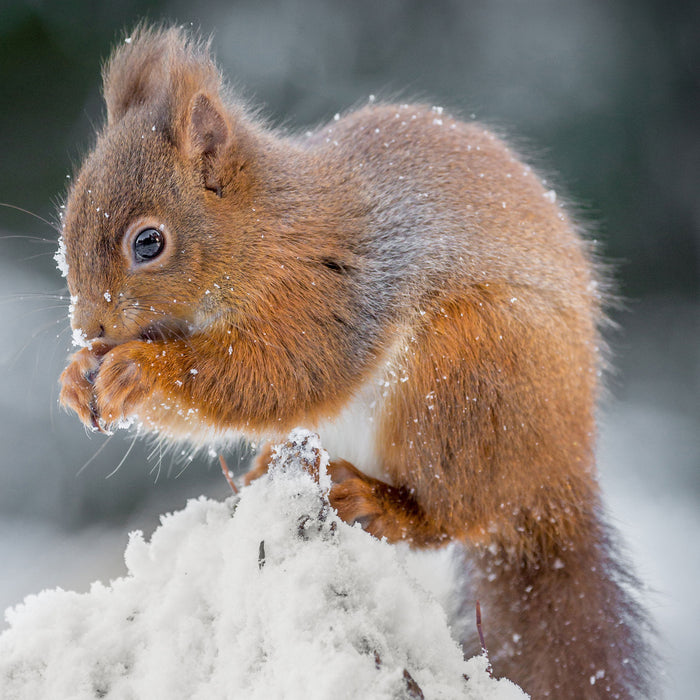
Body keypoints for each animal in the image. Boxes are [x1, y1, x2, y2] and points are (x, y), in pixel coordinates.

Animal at [57, 24, 652, 696]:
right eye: (68, 220)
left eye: (149, 243)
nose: (90, 327)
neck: (263, 232)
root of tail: (559, 479)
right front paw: (77, 378)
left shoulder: (327, 293)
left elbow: (277, 374)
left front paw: (139, 370)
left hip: (464, 382)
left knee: (451, 515)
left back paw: (378, 501)